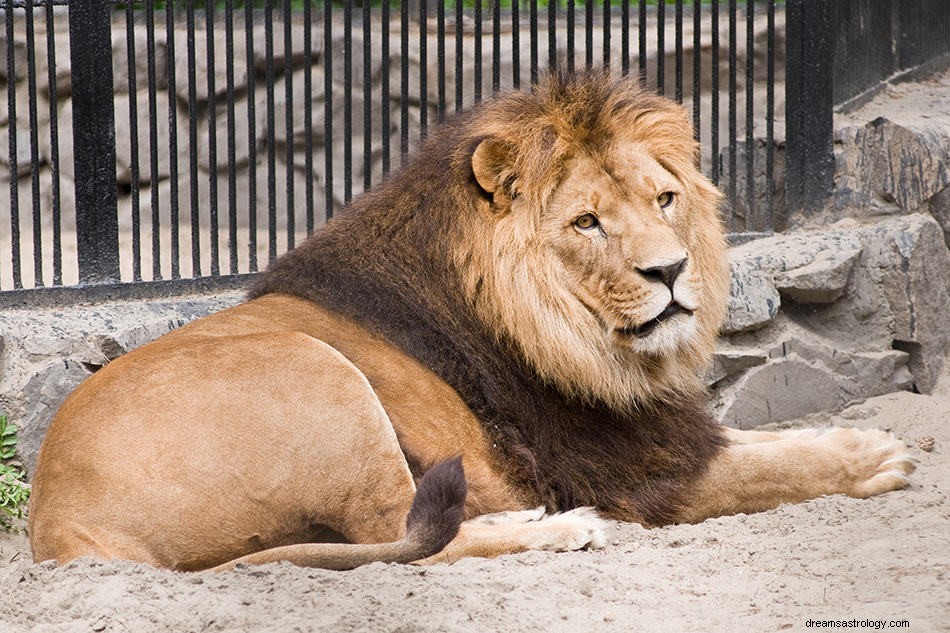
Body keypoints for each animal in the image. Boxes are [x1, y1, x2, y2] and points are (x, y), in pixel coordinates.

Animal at [27, 71, 916, 572]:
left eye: (665, 198)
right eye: (587, 222)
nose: (669, 271)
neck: (582, 340)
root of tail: (57, 523)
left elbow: (763, 438)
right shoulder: (628, 473)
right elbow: (769, 467)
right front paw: (874, 457)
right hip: (316, 373)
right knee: (406, 532)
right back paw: (562, 530)